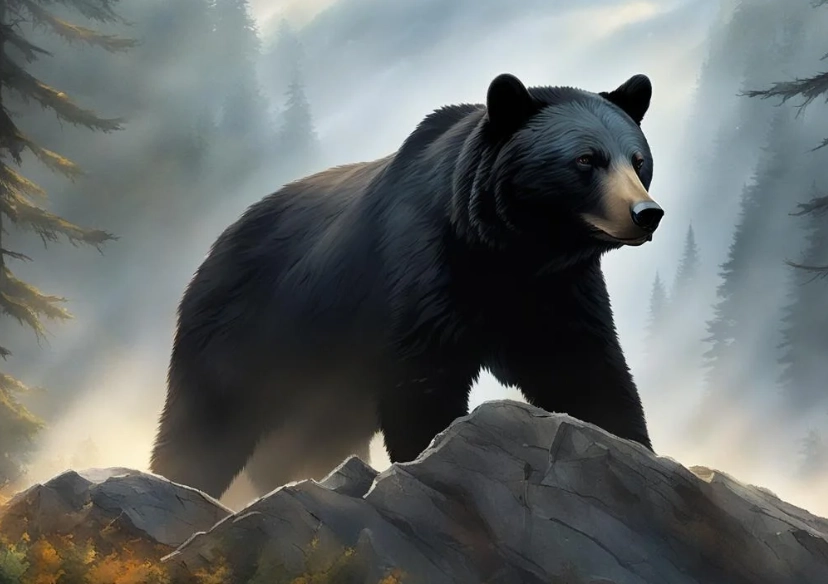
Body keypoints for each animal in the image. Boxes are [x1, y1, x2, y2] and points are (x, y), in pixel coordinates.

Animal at [149, 72, 664, 500]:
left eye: (639, 160)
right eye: (586, 159)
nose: (647, 213)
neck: (505, 249)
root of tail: (215, 246)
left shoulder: (555, 291)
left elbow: (583, 367)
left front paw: (629, 447)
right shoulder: (421, 269)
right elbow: (421, 380)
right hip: (248, 336)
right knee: (205, 423)